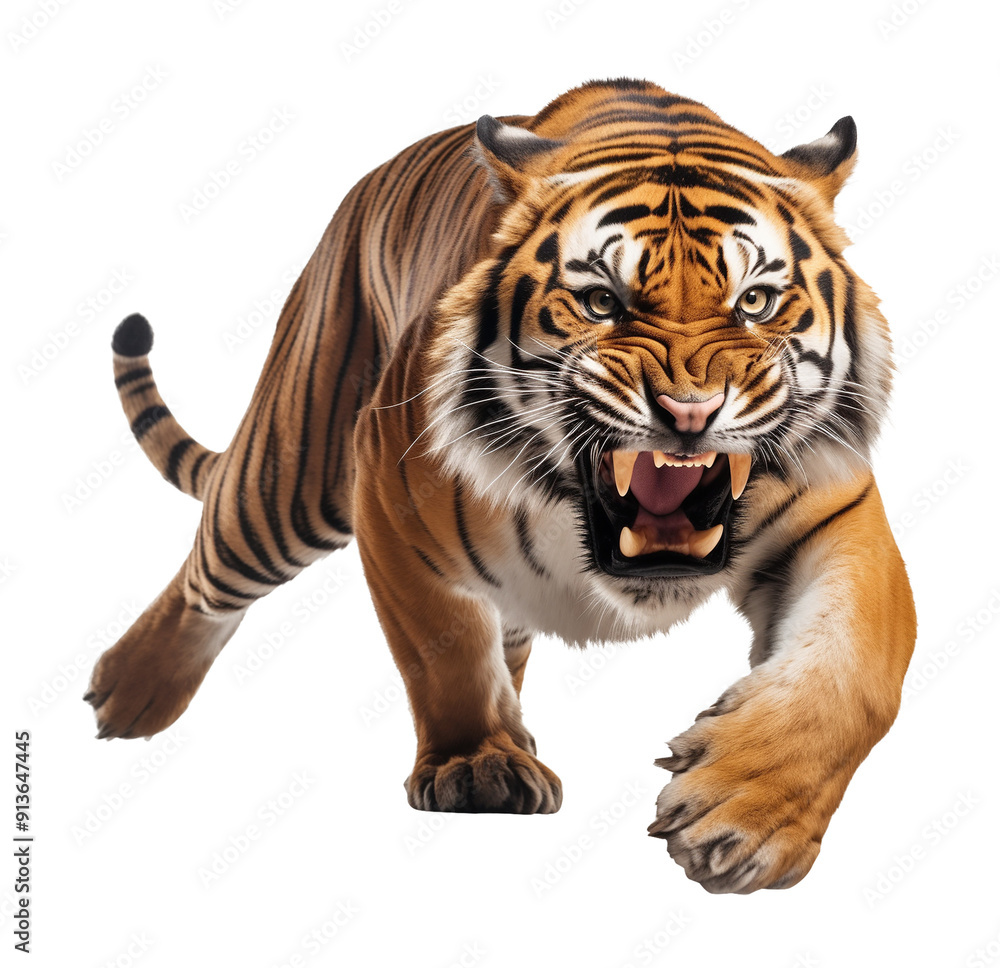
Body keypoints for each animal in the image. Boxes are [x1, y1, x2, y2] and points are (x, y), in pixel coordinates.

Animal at [85, 78, 916, 894]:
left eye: (754, 302)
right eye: (602, 301)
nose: (689, 411)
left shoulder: (838, 512)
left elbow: (860, 667)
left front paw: (746, 817)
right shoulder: (387, 493)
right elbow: (445, 649)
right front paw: (476, 764)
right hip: (289, 479)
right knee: (208, 573)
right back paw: (129, 693)